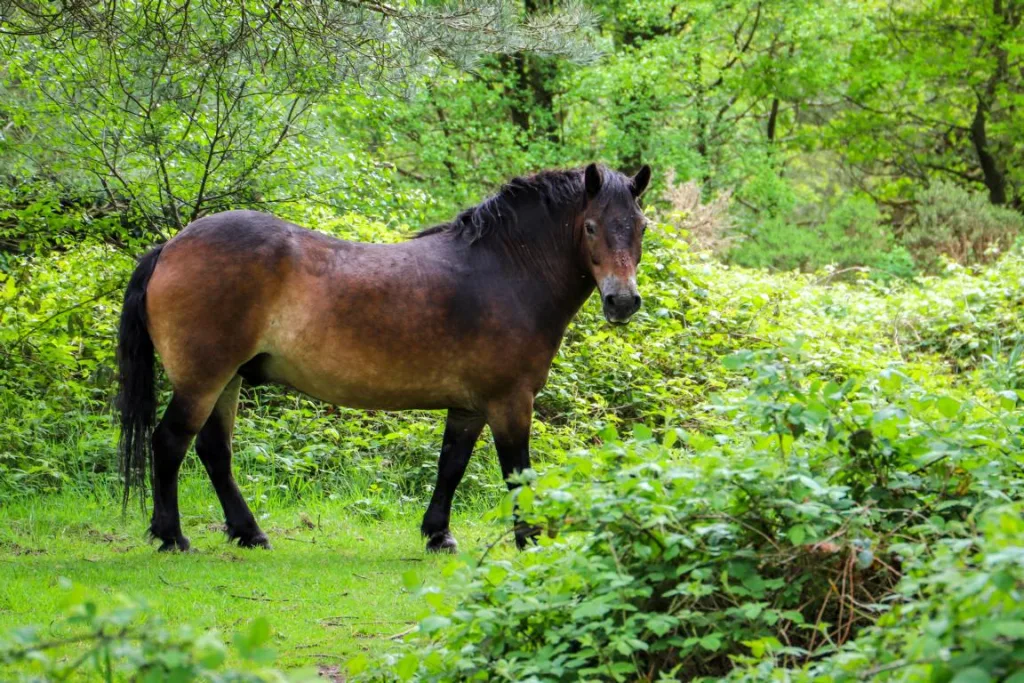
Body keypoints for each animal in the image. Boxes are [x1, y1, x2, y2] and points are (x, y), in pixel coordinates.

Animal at [117, 162, 647, 552]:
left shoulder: (470, 406)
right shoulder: (510, 402)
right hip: (202, 381)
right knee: (169, 444)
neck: (503, 271)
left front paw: (438, 534)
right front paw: (529, 540)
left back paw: (248, 533)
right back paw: (172, 537)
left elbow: (451, 464)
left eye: (641, 226)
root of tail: (170, 246)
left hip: (225, 381)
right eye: (592, 226)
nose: (622, 301)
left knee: (213, 452)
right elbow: (517, 473)